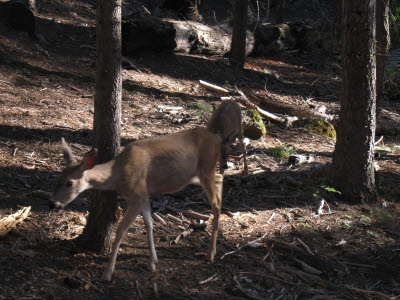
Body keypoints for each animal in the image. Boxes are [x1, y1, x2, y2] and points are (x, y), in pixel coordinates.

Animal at [49, 127, 223, 282]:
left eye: (69, 183)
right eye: (57, 179)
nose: (53, 204)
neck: (118, 174)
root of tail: (217, 138)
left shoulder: (137, 195)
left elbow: (121, 231)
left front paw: (107, 273)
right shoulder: (144, 195)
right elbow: (149, 224)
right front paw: (153, 262)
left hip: (205, 169)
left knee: (216, 204)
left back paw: (211, 254)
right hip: (195, 175)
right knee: (220, 179)